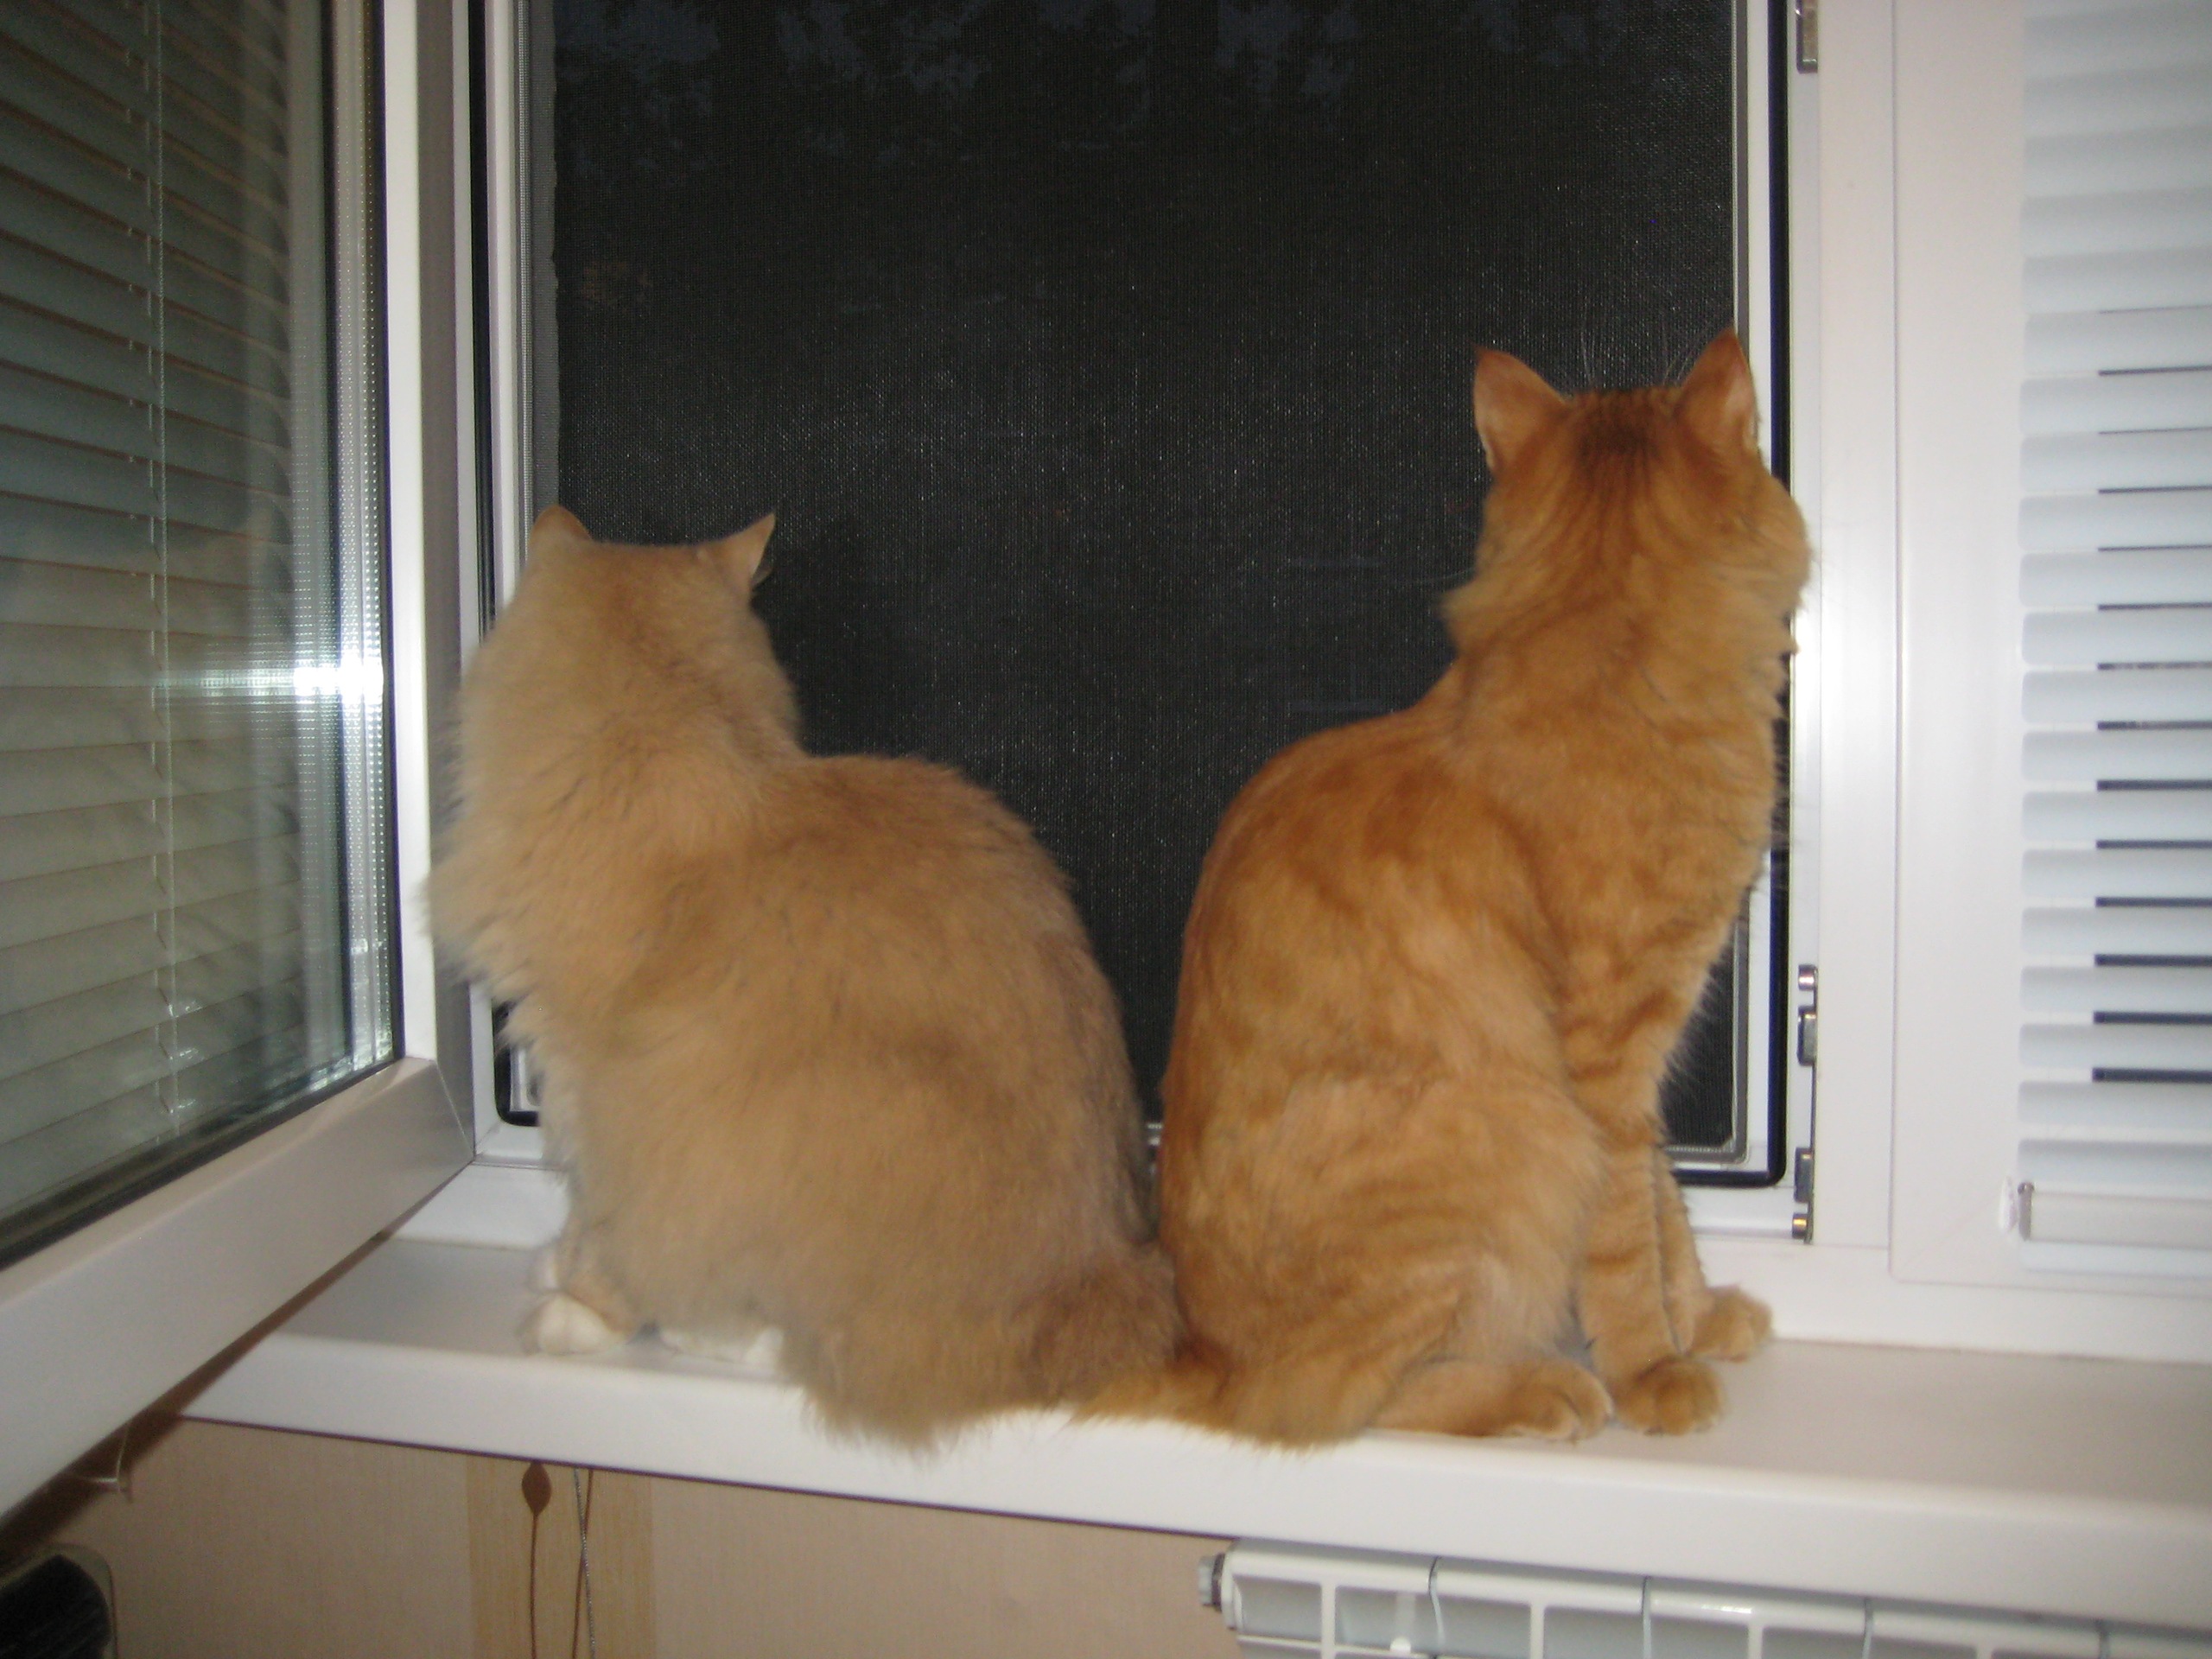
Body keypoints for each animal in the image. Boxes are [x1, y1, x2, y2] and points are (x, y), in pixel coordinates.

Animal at [432, 506, 1177, 1443]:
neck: (666, 742)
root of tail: (1104, 1279)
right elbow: (580, 1220)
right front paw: (555, 1265)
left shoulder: (606, 1097)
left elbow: (608, 1237)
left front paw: (575, 1313)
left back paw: (710, 1332)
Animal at [1095, 332, 1809, 1443]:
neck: (1610, 656)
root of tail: (1202, 1350)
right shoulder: (1609, 1060)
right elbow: (1628, 1235)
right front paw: (1656, 1367)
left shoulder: (1643, 1068)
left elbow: (1665, 1207)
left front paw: (1694, 1319)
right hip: (1515, 1126)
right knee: (1344, 1401)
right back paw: (1543, 1387)